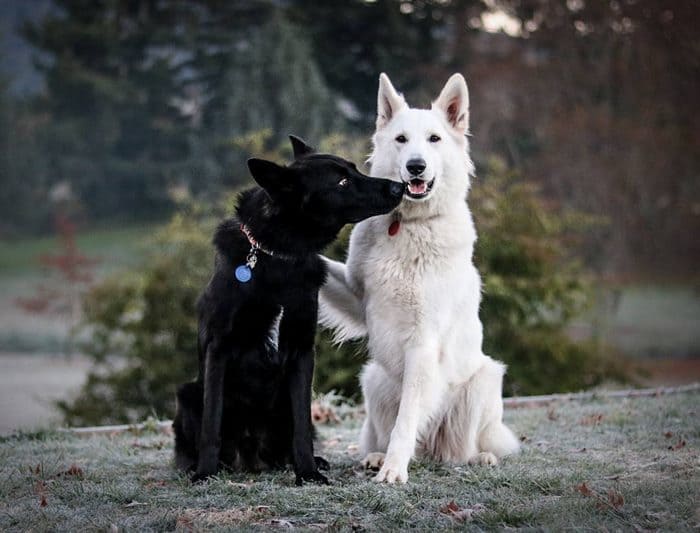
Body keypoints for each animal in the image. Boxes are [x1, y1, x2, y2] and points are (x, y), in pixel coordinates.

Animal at [172, 135, 402, 484]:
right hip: (188, 394)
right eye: (342, 181)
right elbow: (212, 421)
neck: (277, 255)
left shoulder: (301, 350)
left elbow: (301, 427)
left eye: (354, 169)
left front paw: (307, 472)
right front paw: (205, 473)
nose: (400, 186)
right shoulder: (219, 347)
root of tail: (251, 457)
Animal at [320, 72, 516, 484]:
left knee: (458, 449)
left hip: (482, 381)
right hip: (375, 379)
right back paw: (376, 456)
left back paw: (477, 458)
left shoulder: (423, 343)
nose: (415, 166)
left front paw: (395, 470)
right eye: (401, 139)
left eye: (434, 139)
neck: (408, 225)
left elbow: (407, 419)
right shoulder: (357, 297)